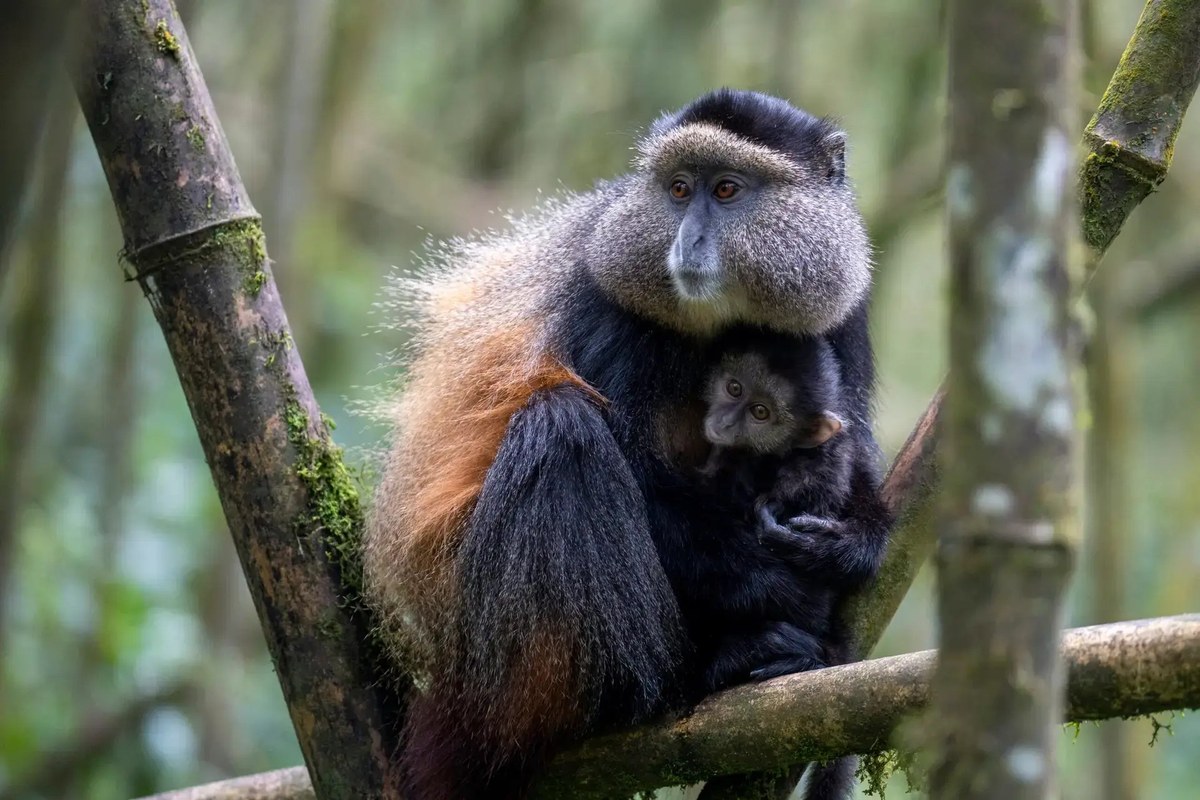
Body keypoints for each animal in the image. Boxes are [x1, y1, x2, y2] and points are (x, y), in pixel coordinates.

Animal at [362, 89, 889, 800]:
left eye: (726, 190)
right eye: (678, 189)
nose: (688, 240)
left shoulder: (843, 310)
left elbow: (844, 446)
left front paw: (850, 545)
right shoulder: (607, 312)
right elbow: (644, 482)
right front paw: (789, 590)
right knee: (560, 429)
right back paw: (683, 680)